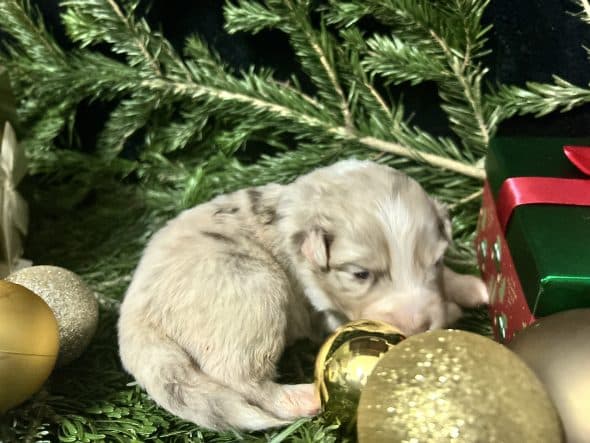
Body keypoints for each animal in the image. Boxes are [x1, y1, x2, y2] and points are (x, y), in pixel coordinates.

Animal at [118, 160, 488, 434]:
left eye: (435, 262)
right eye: (360, 274)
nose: (420, 325)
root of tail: (133, 321)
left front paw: (470, 287)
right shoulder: (325, 307)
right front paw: (453, 313)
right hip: (255, 289)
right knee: (239, 376)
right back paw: (305, 396)